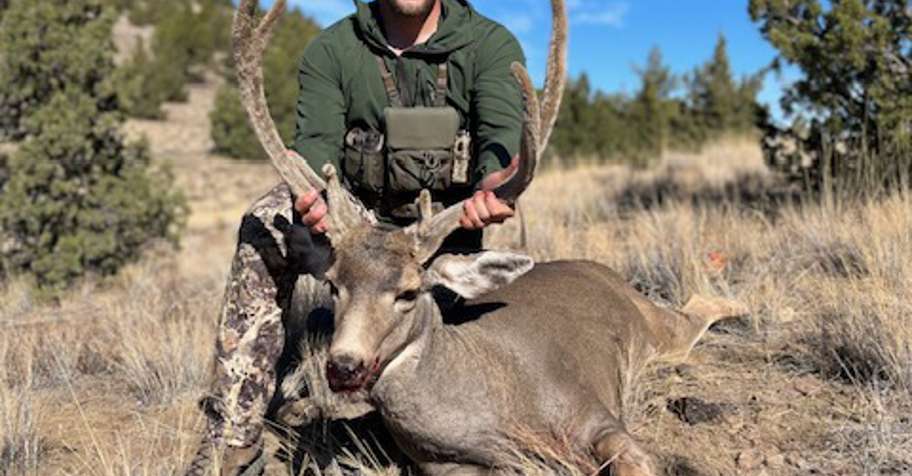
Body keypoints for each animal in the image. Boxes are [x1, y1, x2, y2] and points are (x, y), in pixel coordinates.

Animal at [232, 1, 747, 474]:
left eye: (408, 293)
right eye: (335, 286)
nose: (344, 366)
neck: (493, 420)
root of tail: (601, 270)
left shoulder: (598, 417)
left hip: (656, 330)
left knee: (696, 308)